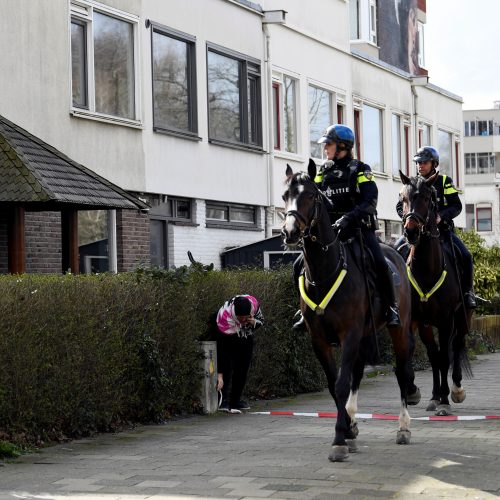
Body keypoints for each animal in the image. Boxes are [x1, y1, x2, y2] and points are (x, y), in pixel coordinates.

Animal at [282, 162, 418, 462]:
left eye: (312, 195)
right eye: (285, 195)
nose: (289, 232)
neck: (325, 271)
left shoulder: (349, 334)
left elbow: (342, 384)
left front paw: (339, 441)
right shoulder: (320, 340)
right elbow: (335, 385)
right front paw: (347, 430)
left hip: (399, 330)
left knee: (401, 371)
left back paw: (403, 427)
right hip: (365, 335)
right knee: (358, 372)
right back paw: (354, 421)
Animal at [398, 170, 472, 416]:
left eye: (428, 198)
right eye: (402, 198)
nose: (411, 231)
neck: (426, 270)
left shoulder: (446, 319)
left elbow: (444, 356)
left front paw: (445, 401)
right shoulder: (417, 319)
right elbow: (423, 352)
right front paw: (418, 392)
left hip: (462, 316)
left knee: (456, 345)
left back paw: (456, 390)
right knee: (435, 353)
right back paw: (435, 395)